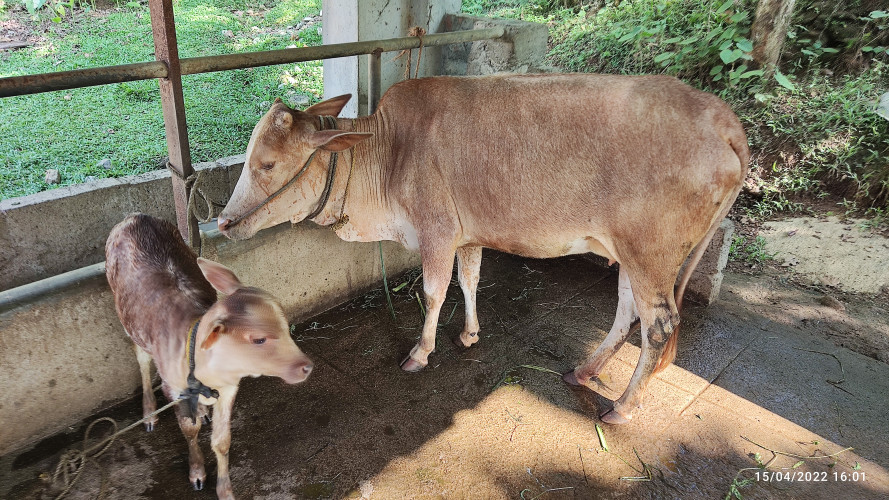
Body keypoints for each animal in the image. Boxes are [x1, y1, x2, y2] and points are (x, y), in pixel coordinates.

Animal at [105, 213, 314, 499]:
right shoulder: (174, 387)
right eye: (259, 339)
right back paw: (149, 413)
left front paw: (225, 489)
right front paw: (197, 473)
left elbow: (222, 441)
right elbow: (189, 429)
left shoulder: (229, 388)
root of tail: (135, 217)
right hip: (128, 321)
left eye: (285, 326)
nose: (306, 366)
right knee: (142, 360)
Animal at [216, 73, 749, 424]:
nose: (222, 221)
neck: (388, 152)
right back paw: (584, 370)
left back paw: (623, 406)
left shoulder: (435, 230)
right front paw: (470, 334)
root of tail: (725, 119)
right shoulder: (466, 235)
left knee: (660, 324)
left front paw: (421, 351)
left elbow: (434, 292)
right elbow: (468, 280)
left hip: (650, 255)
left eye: (266, 164)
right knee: (626, 311)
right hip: (631, 257)